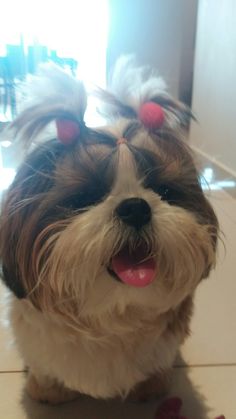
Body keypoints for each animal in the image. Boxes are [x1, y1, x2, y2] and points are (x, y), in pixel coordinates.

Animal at [0, 55, 218, 404]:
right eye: (85, 197)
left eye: (164, 191)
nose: (135, 207)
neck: (115, 312)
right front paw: (47, 391)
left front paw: (151, 388)